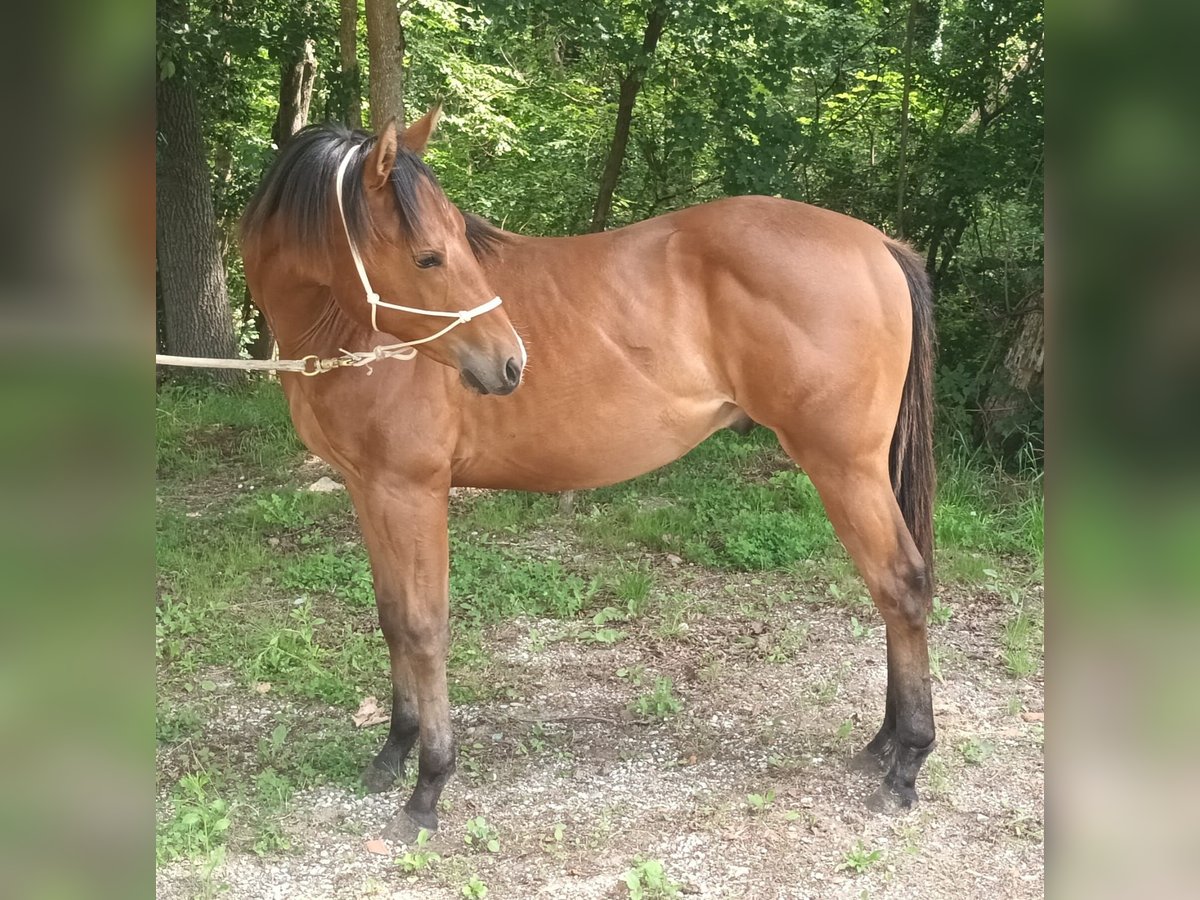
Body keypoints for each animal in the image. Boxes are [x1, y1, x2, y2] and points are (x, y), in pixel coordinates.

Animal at [241, 109, 936, 844]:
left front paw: (428, 786)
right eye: (428, 256)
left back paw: (906, 765)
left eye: (451, 245)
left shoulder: (412, 492)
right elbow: (392, 618)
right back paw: (886, 744)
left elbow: (425, 628)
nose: (509, 362)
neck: (350, 335)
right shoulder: (368, 489)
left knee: (901, 587)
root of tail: (876, 242)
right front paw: (392, 752)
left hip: (845, 467)